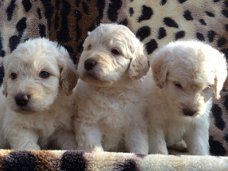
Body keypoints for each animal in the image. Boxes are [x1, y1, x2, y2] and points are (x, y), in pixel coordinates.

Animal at [74, 23, 151, 154]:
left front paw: (139, 154)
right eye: (89, 47)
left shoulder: (135, 122)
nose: (88, 62)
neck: (112, 91)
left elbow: (139, 143)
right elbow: (93, 146)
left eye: (115, 51)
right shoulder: (88, 121)